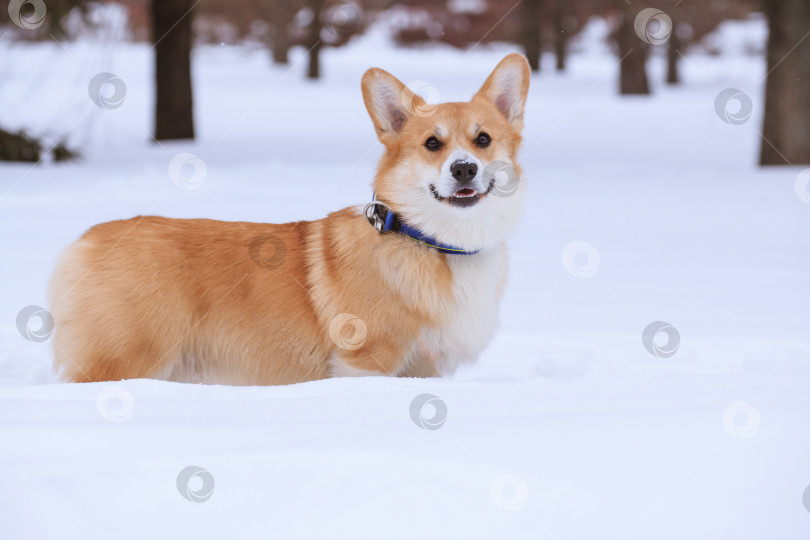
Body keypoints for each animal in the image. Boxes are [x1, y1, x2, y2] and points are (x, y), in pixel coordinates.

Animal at [50, 53, 532, 384]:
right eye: (433, 144)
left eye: (483, 139)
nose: (464, 169)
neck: (435, 242)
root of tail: (85, 240)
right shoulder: (366, 362)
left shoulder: (423, 369)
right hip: (127, 360)